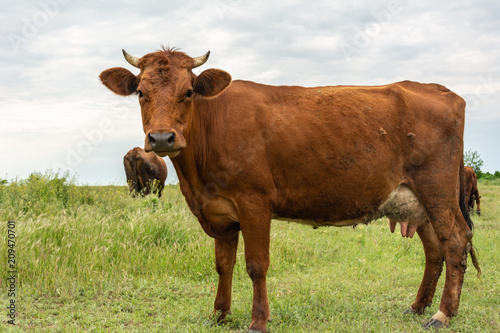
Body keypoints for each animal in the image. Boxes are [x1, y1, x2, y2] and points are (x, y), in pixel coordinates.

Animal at [100, 48, 480, 330]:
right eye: (141, 93)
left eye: (189, 92)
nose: (162, 138)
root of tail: (440, 90)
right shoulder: (219, 212)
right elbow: (223, 264)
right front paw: (220, 315)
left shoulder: (254, 203)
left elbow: (256, 264)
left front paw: (258, 321)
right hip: (417, 202)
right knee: (434, 250)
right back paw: (418, 306)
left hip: (437, 191)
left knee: (454, 242)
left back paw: (442, 314)